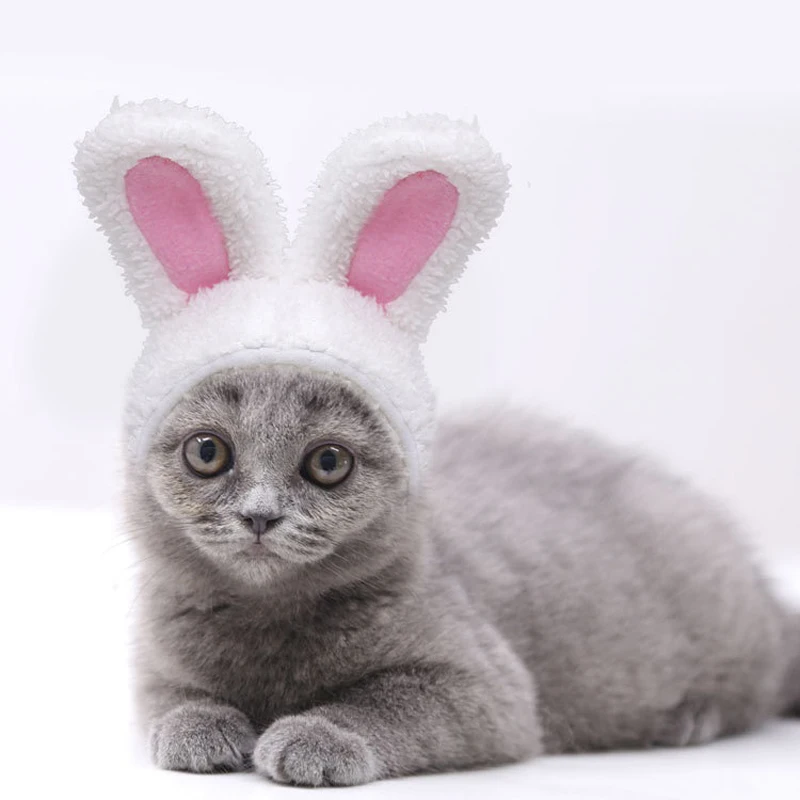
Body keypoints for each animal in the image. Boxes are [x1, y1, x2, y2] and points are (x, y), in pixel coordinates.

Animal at [75, 99, 800, 786]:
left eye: (328, 462)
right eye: (208, 452)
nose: (260, 515)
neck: (268, 626)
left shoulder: (482, 685)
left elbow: (385, 704)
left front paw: (315, 737)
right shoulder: (157, 667)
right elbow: (173, 701)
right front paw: (199, 729)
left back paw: (688, 717)